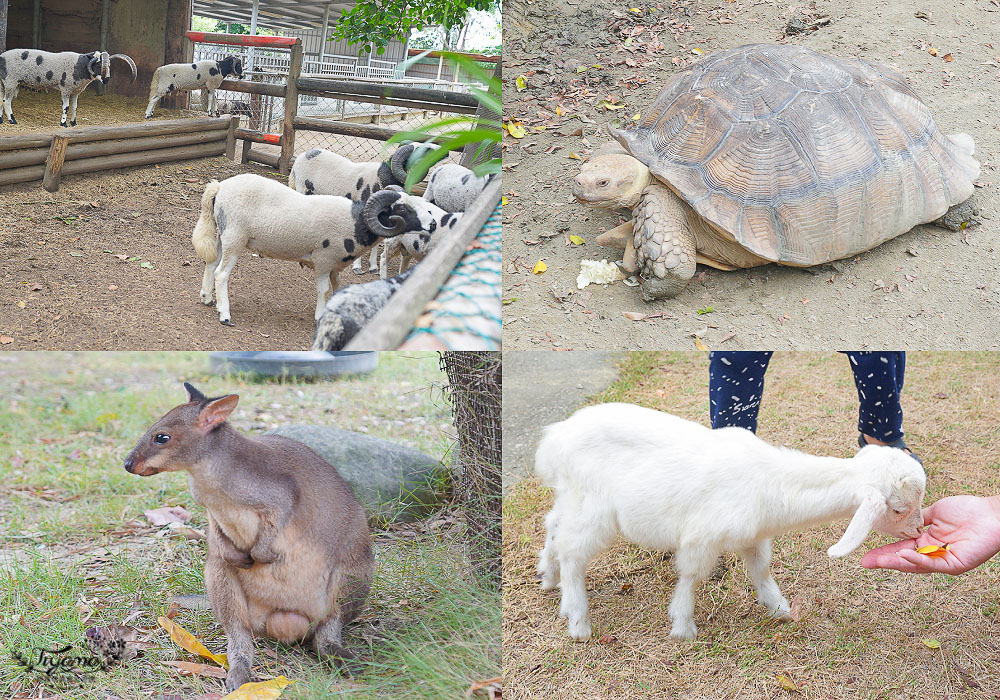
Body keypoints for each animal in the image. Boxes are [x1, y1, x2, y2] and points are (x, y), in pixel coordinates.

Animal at [0, 48, 137, 126]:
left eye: (109, 65)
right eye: (97, 64)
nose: (106, 80)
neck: (79, 66)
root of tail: (1, 57)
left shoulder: (75, 91)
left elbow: (74, 107)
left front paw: (73, 123)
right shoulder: (65, 89)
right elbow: (66, 107)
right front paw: (63, 123)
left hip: (3, 82)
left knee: (1, 100)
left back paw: (1, 120)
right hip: (11, 81)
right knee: (6, 102)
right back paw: (12, 121)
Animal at [192, 175, 458, 328]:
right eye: (402, 209)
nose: (432, 225)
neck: (356, 222)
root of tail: (220, 187)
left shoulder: (335, 265)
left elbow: (337, 286)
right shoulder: (322, 260)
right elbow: (324, 290)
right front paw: (320, 316)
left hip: (222, 234)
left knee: (212, 263)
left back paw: (206, 298)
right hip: (236, 237)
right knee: (222, 274)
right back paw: (224, 314)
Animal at [536, 402, 924, 644]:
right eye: (898, 508)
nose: (920, 529)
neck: (770, 480)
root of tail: (554, 439)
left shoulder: (754, 536)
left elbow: (761, 570)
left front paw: (780, 609)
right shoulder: (702, 537)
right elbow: (691, 576)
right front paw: (683, 626)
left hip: (571, 495)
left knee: (554, 527)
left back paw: (549, 578)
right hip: (594, 507)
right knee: (573, 551)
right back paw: (578, 621)